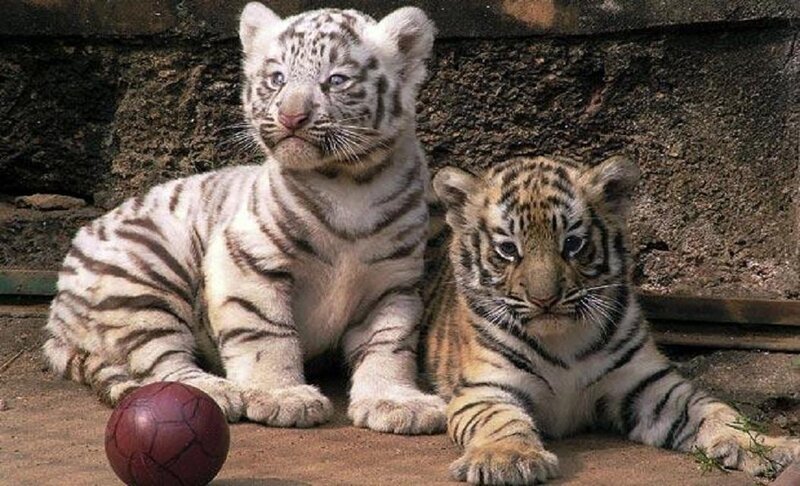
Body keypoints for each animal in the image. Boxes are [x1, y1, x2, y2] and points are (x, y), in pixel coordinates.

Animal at [42, 2, 447, 434]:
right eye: (277, 79)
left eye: (336, 80)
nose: (291, 117)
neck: (348, 183)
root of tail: (56, 318)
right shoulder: (246, 259)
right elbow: (267, 333)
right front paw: (282, 396)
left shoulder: (393, 281)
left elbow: (389, 344)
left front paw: (397, 401)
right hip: (145, 272)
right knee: (160, 361)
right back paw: (213, 392)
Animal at [422, 155, 800, 484]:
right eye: (508, 249)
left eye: (572, 244)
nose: (545, 300)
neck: (560, 339)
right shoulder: (487, 389)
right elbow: (500, 422)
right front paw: (506, 460)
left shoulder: (648, 386)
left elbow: (718, 413)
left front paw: (771, 447)